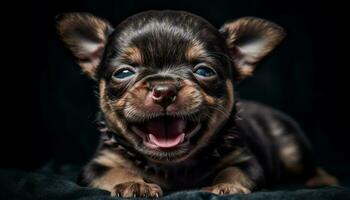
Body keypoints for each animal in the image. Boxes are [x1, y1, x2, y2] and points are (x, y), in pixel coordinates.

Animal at [56, 10, 338, 197]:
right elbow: (115, 172)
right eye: (123, 73)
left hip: (291, 147)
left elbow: (234, 171)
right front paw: (134, 183)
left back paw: (325, 180)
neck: (172, 166)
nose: (164, 90)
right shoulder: (97, 166)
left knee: (309, 165)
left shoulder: (246, 161)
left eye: (204, 71)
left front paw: (226, 185)